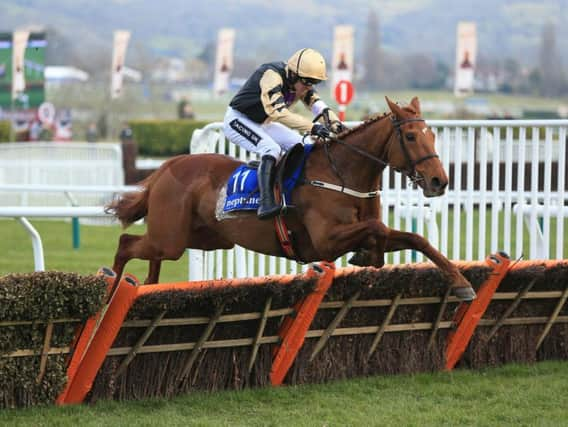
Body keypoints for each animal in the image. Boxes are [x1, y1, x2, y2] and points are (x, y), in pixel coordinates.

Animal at [106, 98, 474, 302]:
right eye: (410, 136)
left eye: (432, 134)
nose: (439, 180)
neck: (342, 173)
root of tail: (169, 165)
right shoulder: (325, 241)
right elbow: (376, 230)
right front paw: (369, 253)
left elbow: (414, 238)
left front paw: (461, 283)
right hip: (172, 237)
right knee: (126, 243)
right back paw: (111, 287)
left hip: (206, 238)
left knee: (149, 253)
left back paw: (146, 284)